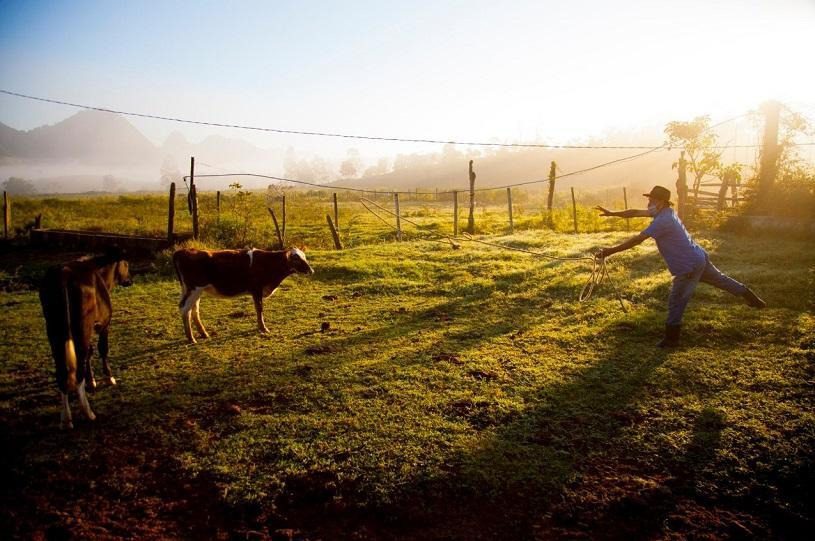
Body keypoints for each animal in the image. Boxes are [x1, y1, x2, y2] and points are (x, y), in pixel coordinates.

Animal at [39, 247, 132, 428]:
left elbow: (90, 353)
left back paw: (66, 418)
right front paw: (109, 377)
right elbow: (102, 349)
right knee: (79, 365)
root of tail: (63, 272)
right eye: (126, 263)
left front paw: (92, 380)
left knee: (62, 370)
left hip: (54, 331)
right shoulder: (104, 324)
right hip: (82, 327)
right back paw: (88, 412)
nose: (130, 280)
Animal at [172, 246, 312, 342]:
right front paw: (263, 329)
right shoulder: (256, 289)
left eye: (304, 256)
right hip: (195, 288)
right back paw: (191, 338)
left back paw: (203, 333)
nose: (311, 270)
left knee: (194, 310)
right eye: (296, 258)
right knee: (185, 309)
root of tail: (183, 251)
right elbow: (259, 309)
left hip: (192, 289)